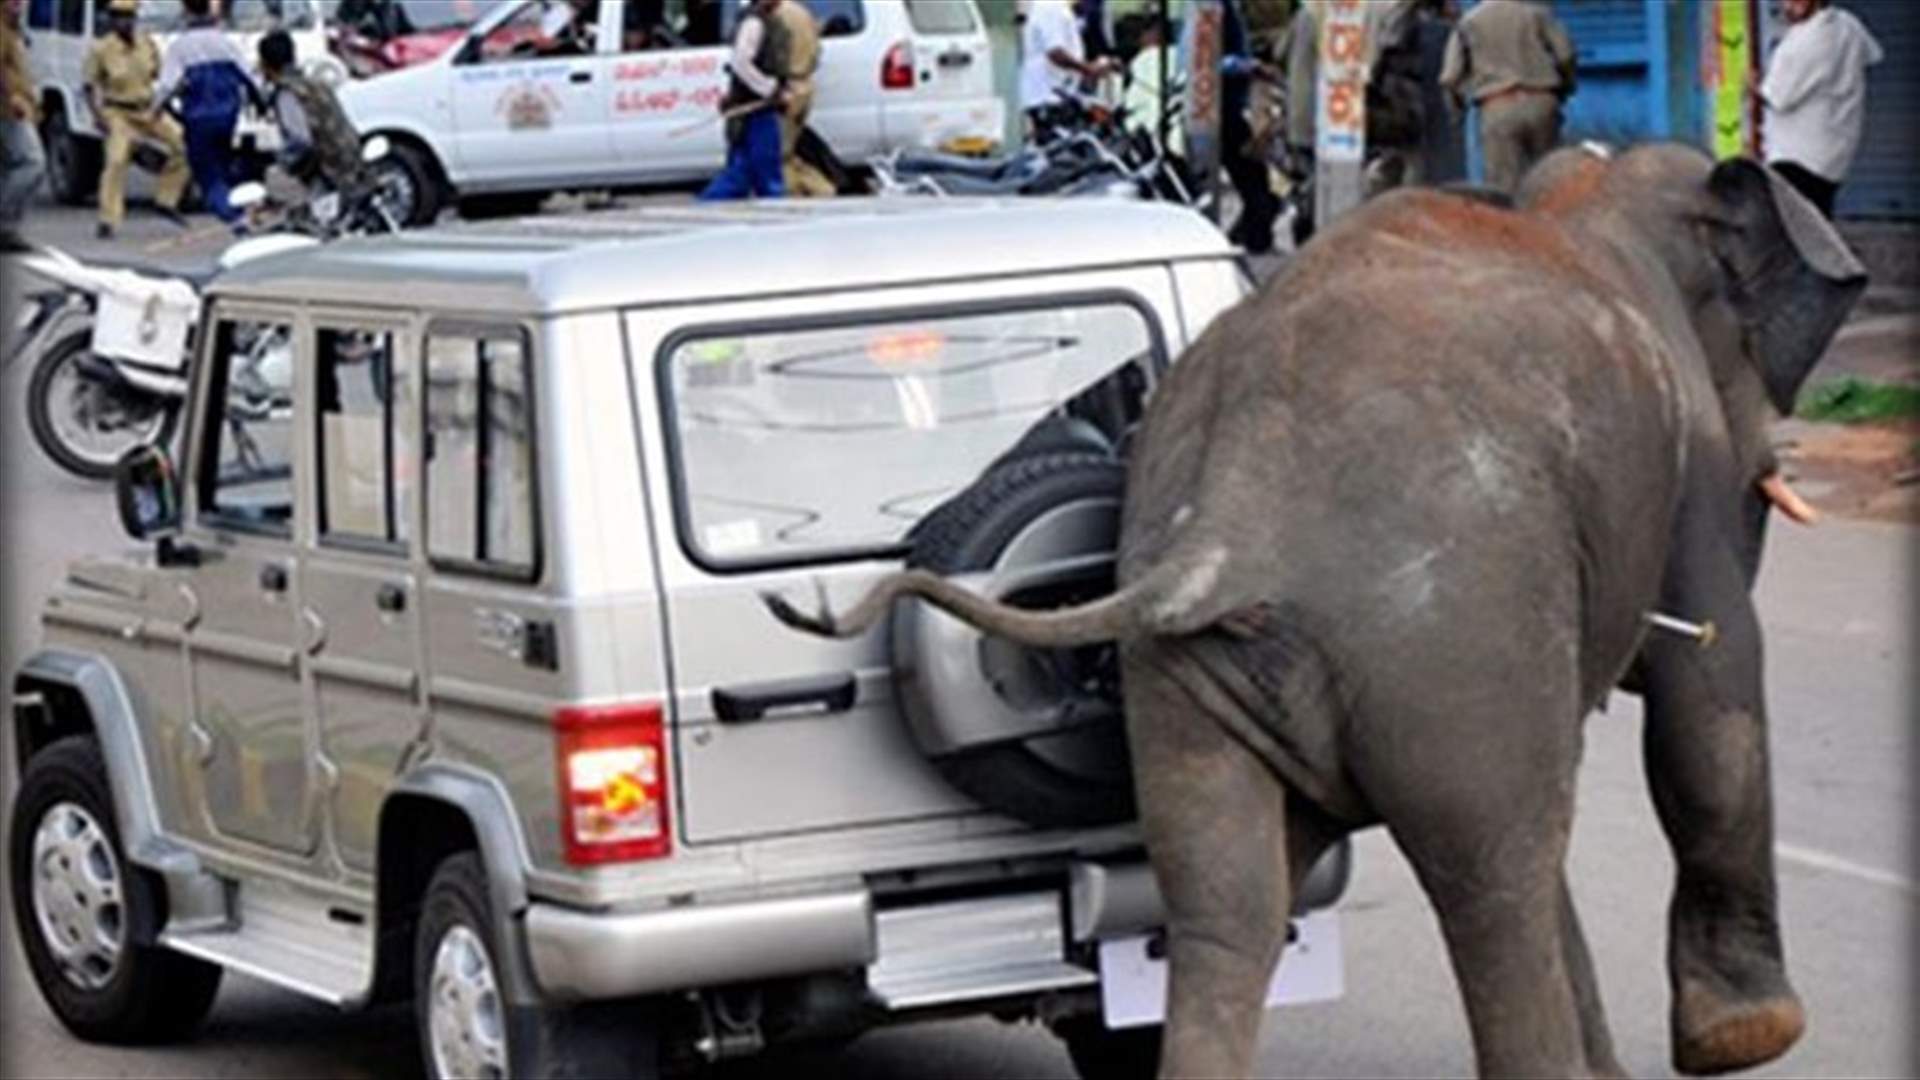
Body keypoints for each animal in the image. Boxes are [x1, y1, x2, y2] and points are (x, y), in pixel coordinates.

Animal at [765, 144, 1867, 1078]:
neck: (1578, 200)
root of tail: (1234, 520)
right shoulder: (1684, 467)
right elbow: (1710, 692)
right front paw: (1750, 1037)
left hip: (1199, 677)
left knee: (1226, 904)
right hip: (1448, 632)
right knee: (1495, 873)